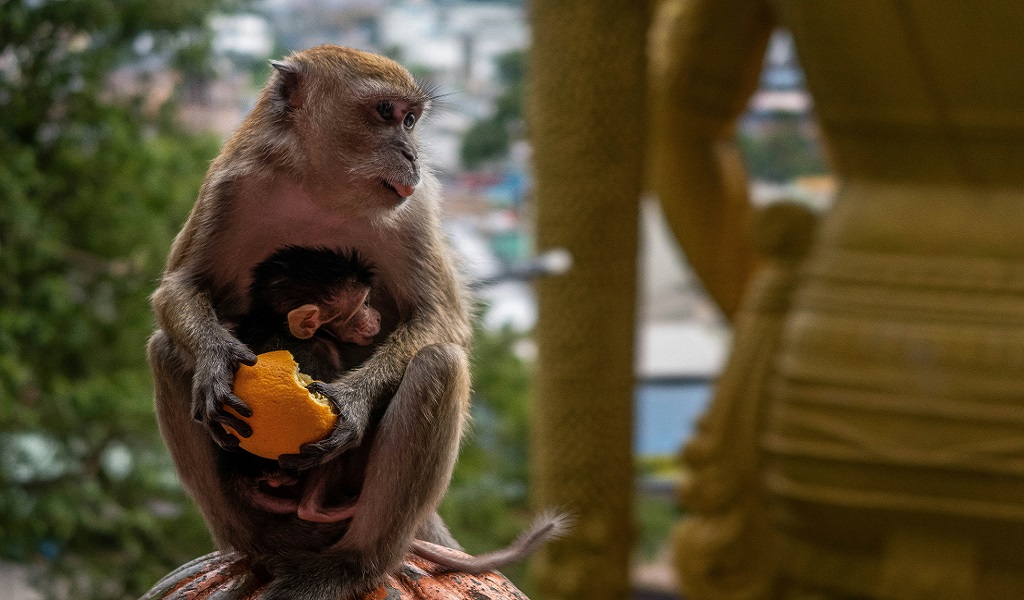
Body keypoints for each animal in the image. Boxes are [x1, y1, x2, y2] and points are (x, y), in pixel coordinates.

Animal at [148, 45, 560, 600]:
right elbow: (180, 286)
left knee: (438, 365)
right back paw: (259, 552)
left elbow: (442, 319)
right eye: (387, 113)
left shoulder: (415, 207)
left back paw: (356, 564)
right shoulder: (231, 186)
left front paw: (353, 403)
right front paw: (217, 360)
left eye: (411, 120)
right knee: (166, 350)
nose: (412, 155)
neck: (321, 191)